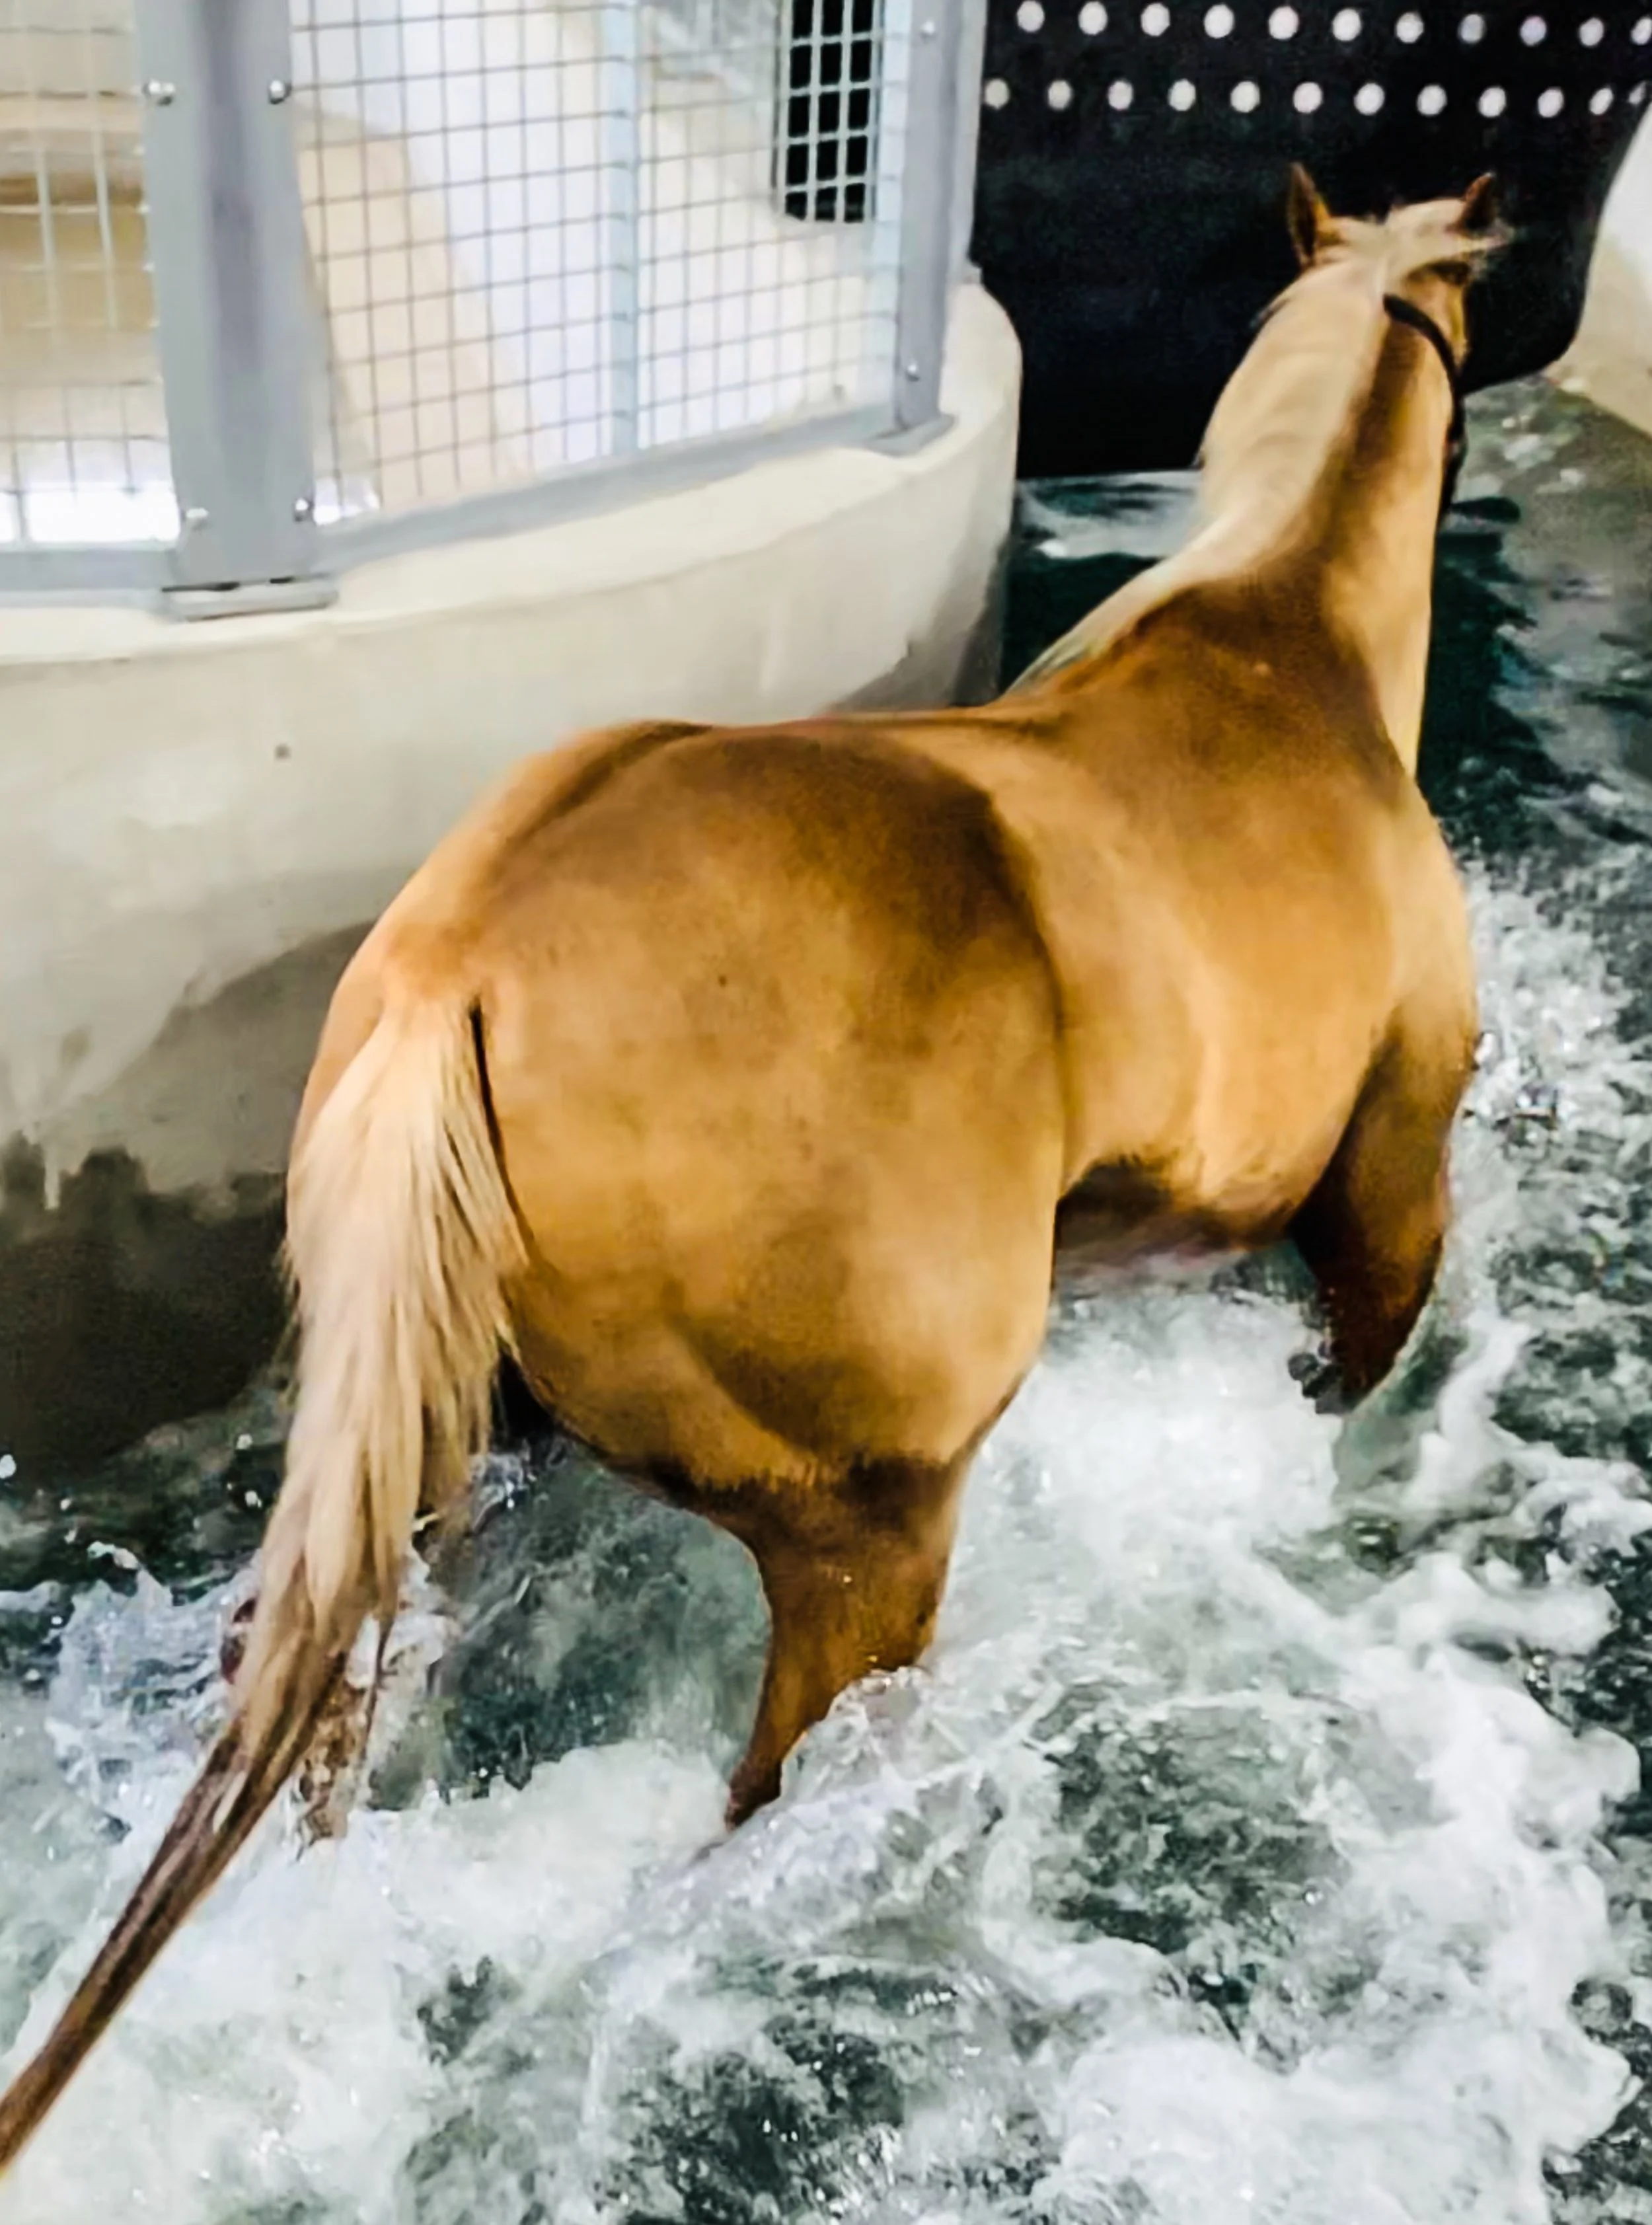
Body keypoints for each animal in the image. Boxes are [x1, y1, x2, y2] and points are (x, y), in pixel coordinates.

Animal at [0, 164, 1500, 2174]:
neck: (1292, 647)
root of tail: (460, 967)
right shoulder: (1393, 1188)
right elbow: (1363, 1368)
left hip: (442, 1462)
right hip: (871, 1537)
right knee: (771, 1790)